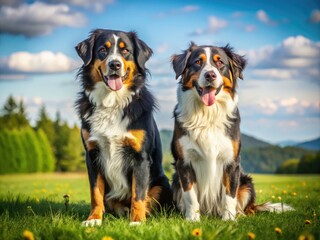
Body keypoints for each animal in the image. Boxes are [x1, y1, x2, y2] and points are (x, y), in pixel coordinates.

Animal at [75, 29, 171, 226]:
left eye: (125, 50)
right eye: (103, 50)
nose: (115, 65)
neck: (112, 102)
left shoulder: (140, 157)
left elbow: (138, 194)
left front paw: (137, 222)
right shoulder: (92, 154)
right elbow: (95, 193)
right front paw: (93, 219)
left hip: (162, 184)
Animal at [171, 42, 294, 221]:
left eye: (220, 63)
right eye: (198, 62)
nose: (210, 75)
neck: (207, 114)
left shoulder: (231, 161)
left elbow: (230, 194)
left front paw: (228, 219)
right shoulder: (184, 161)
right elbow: (191, 195)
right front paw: (193, 219)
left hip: (247, 182)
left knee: (248, 208)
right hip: (175, 182)